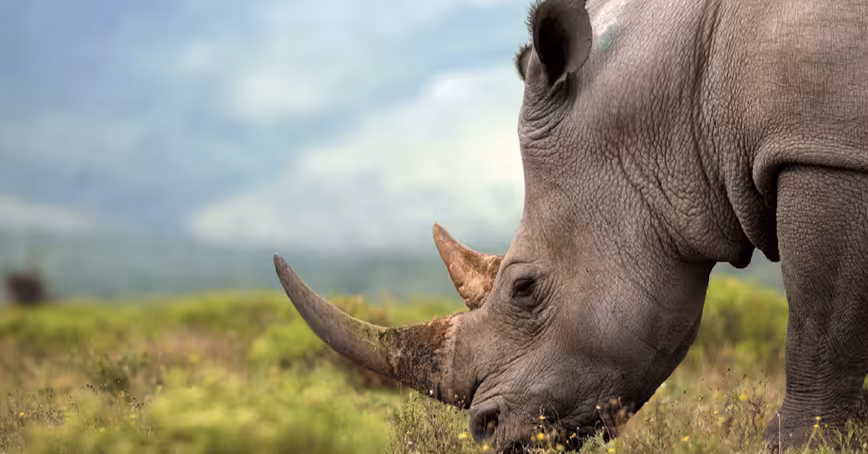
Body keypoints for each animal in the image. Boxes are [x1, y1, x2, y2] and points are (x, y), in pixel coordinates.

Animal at [273, 0, 868, 450]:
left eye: (524, 287)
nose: (485, 430)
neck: (683, 101)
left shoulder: (823, 152)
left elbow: (818, 323)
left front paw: (796, 444)